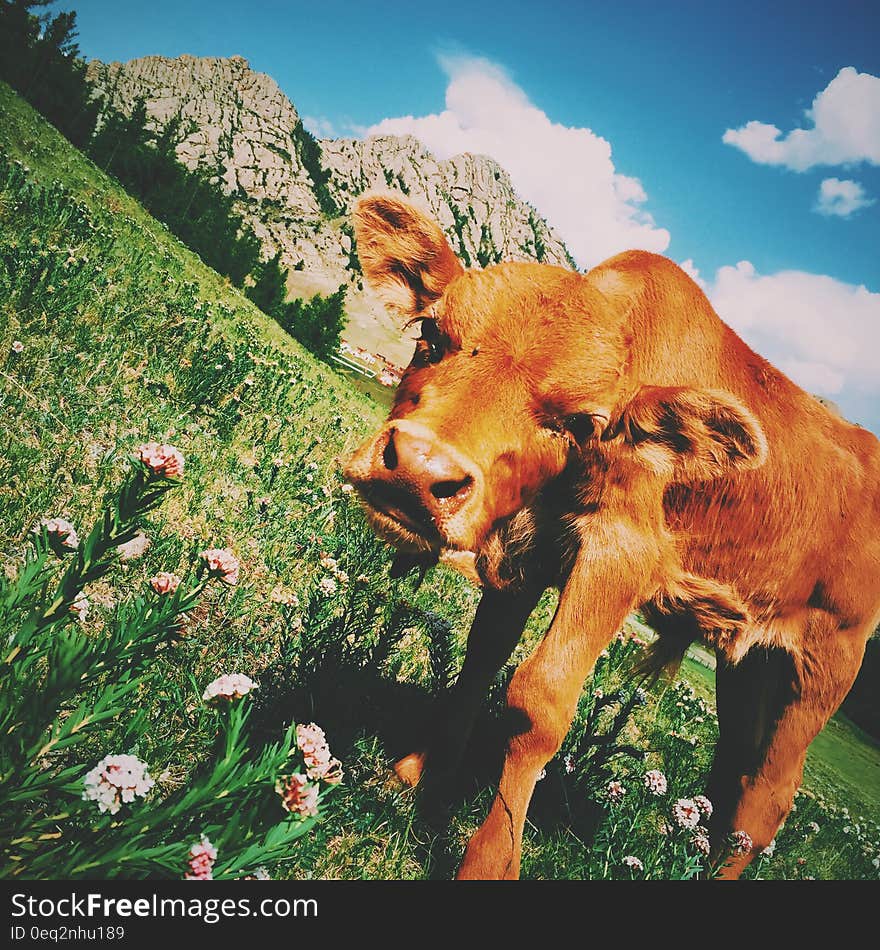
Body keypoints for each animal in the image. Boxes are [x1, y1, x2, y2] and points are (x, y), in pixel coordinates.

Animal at [344, 193, 880, 884]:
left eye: (579, 423)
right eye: (430, 336)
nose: (416, 469)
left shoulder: (619, 555)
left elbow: (539, 700)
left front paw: (489, 860)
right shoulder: (525, 546)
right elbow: (482, 656)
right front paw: (415, 774)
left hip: (824, 663)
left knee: (769, 796)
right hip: (750, 662)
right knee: (733, 779)